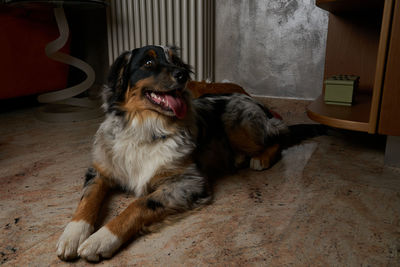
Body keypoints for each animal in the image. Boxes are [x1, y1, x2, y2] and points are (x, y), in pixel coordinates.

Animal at [57, 45, 324, 262]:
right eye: (148, 62)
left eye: (176, 61)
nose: (182, 75)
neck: (145, 129)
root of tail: (257, 102)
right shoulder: (100, 169)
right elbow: (87, 199)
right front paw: (73, 234)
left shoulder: (188, 182)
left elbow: (139, 204)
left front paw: (101, 239)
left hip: (239, 126)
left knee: (281, 135)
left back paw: (261, 159)